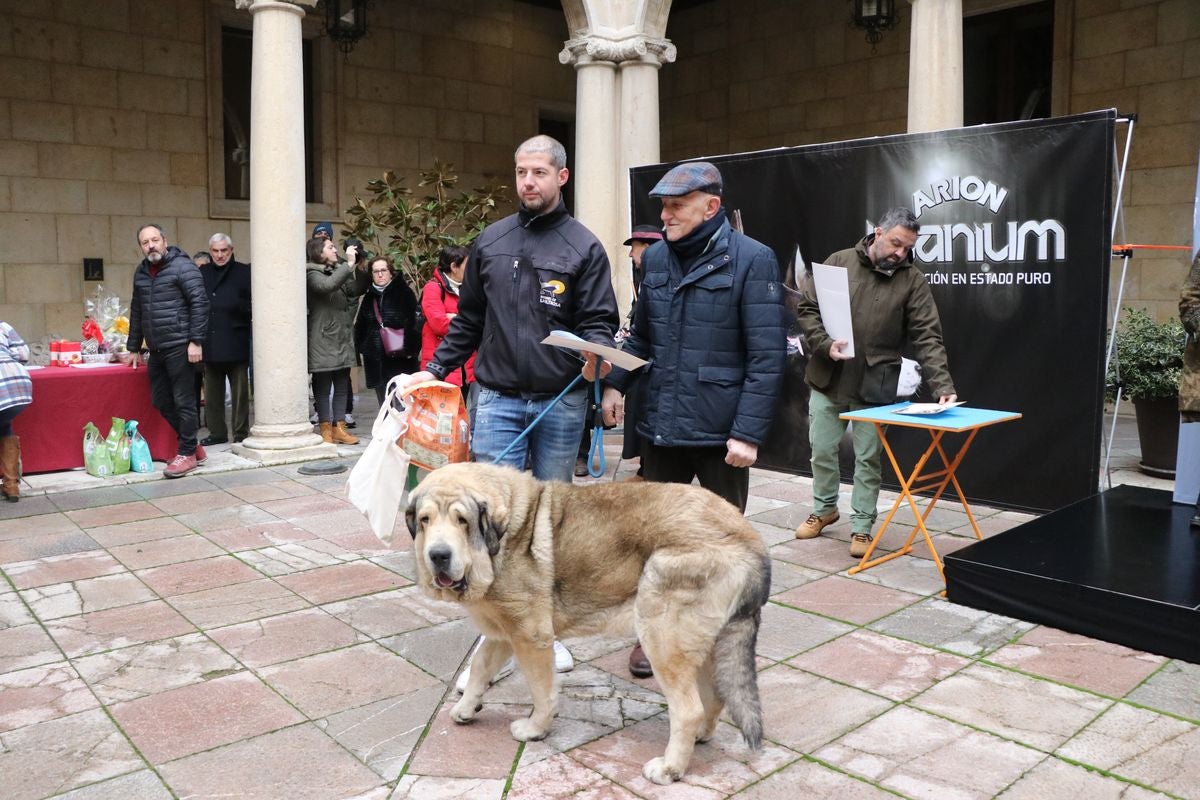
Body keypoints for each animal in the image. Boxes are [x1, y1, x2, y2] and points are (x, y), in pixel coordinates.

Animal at [408, 460, 772, 786]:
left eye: (462, 521)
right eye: (425, 520)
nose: (438, 555)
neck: (506, 533)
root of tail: (749, 537)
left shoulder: (531, 637)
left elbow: (541, 690)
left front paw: (536, 729)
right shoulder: (504, 632)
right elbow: (481, 666)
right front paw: (468, 706)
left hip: (661, 636)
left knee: (688, 709)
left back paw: (670, 768)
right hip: (706, 643)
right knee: (715, 695)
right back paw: (699, 738)